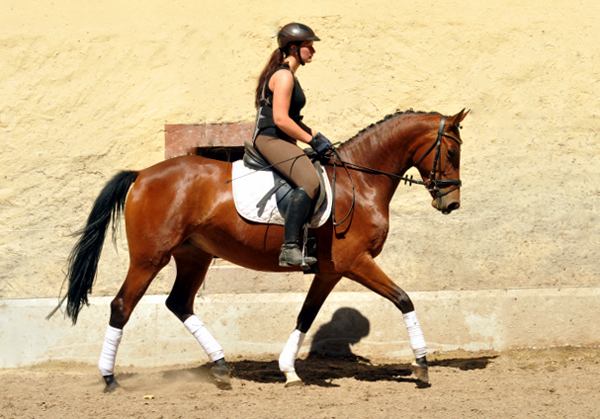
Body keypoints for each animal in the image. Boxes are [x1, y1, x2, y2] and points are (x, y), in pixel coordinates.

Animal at [58, 110, 466, 392]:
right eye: (450, 150)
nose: (451, 203)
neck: (361, 181)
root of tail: (142, 174)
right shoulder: (355, 262)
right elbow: (404, 299)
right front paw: (421, 364)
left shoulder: (330, 270)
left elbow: (306, 316)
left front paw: (288, 370)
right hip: (149, 258)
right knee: (122, 306)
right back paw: (109, 378)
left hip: (194, 256)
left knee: (179, 304)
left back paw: (221, 367)